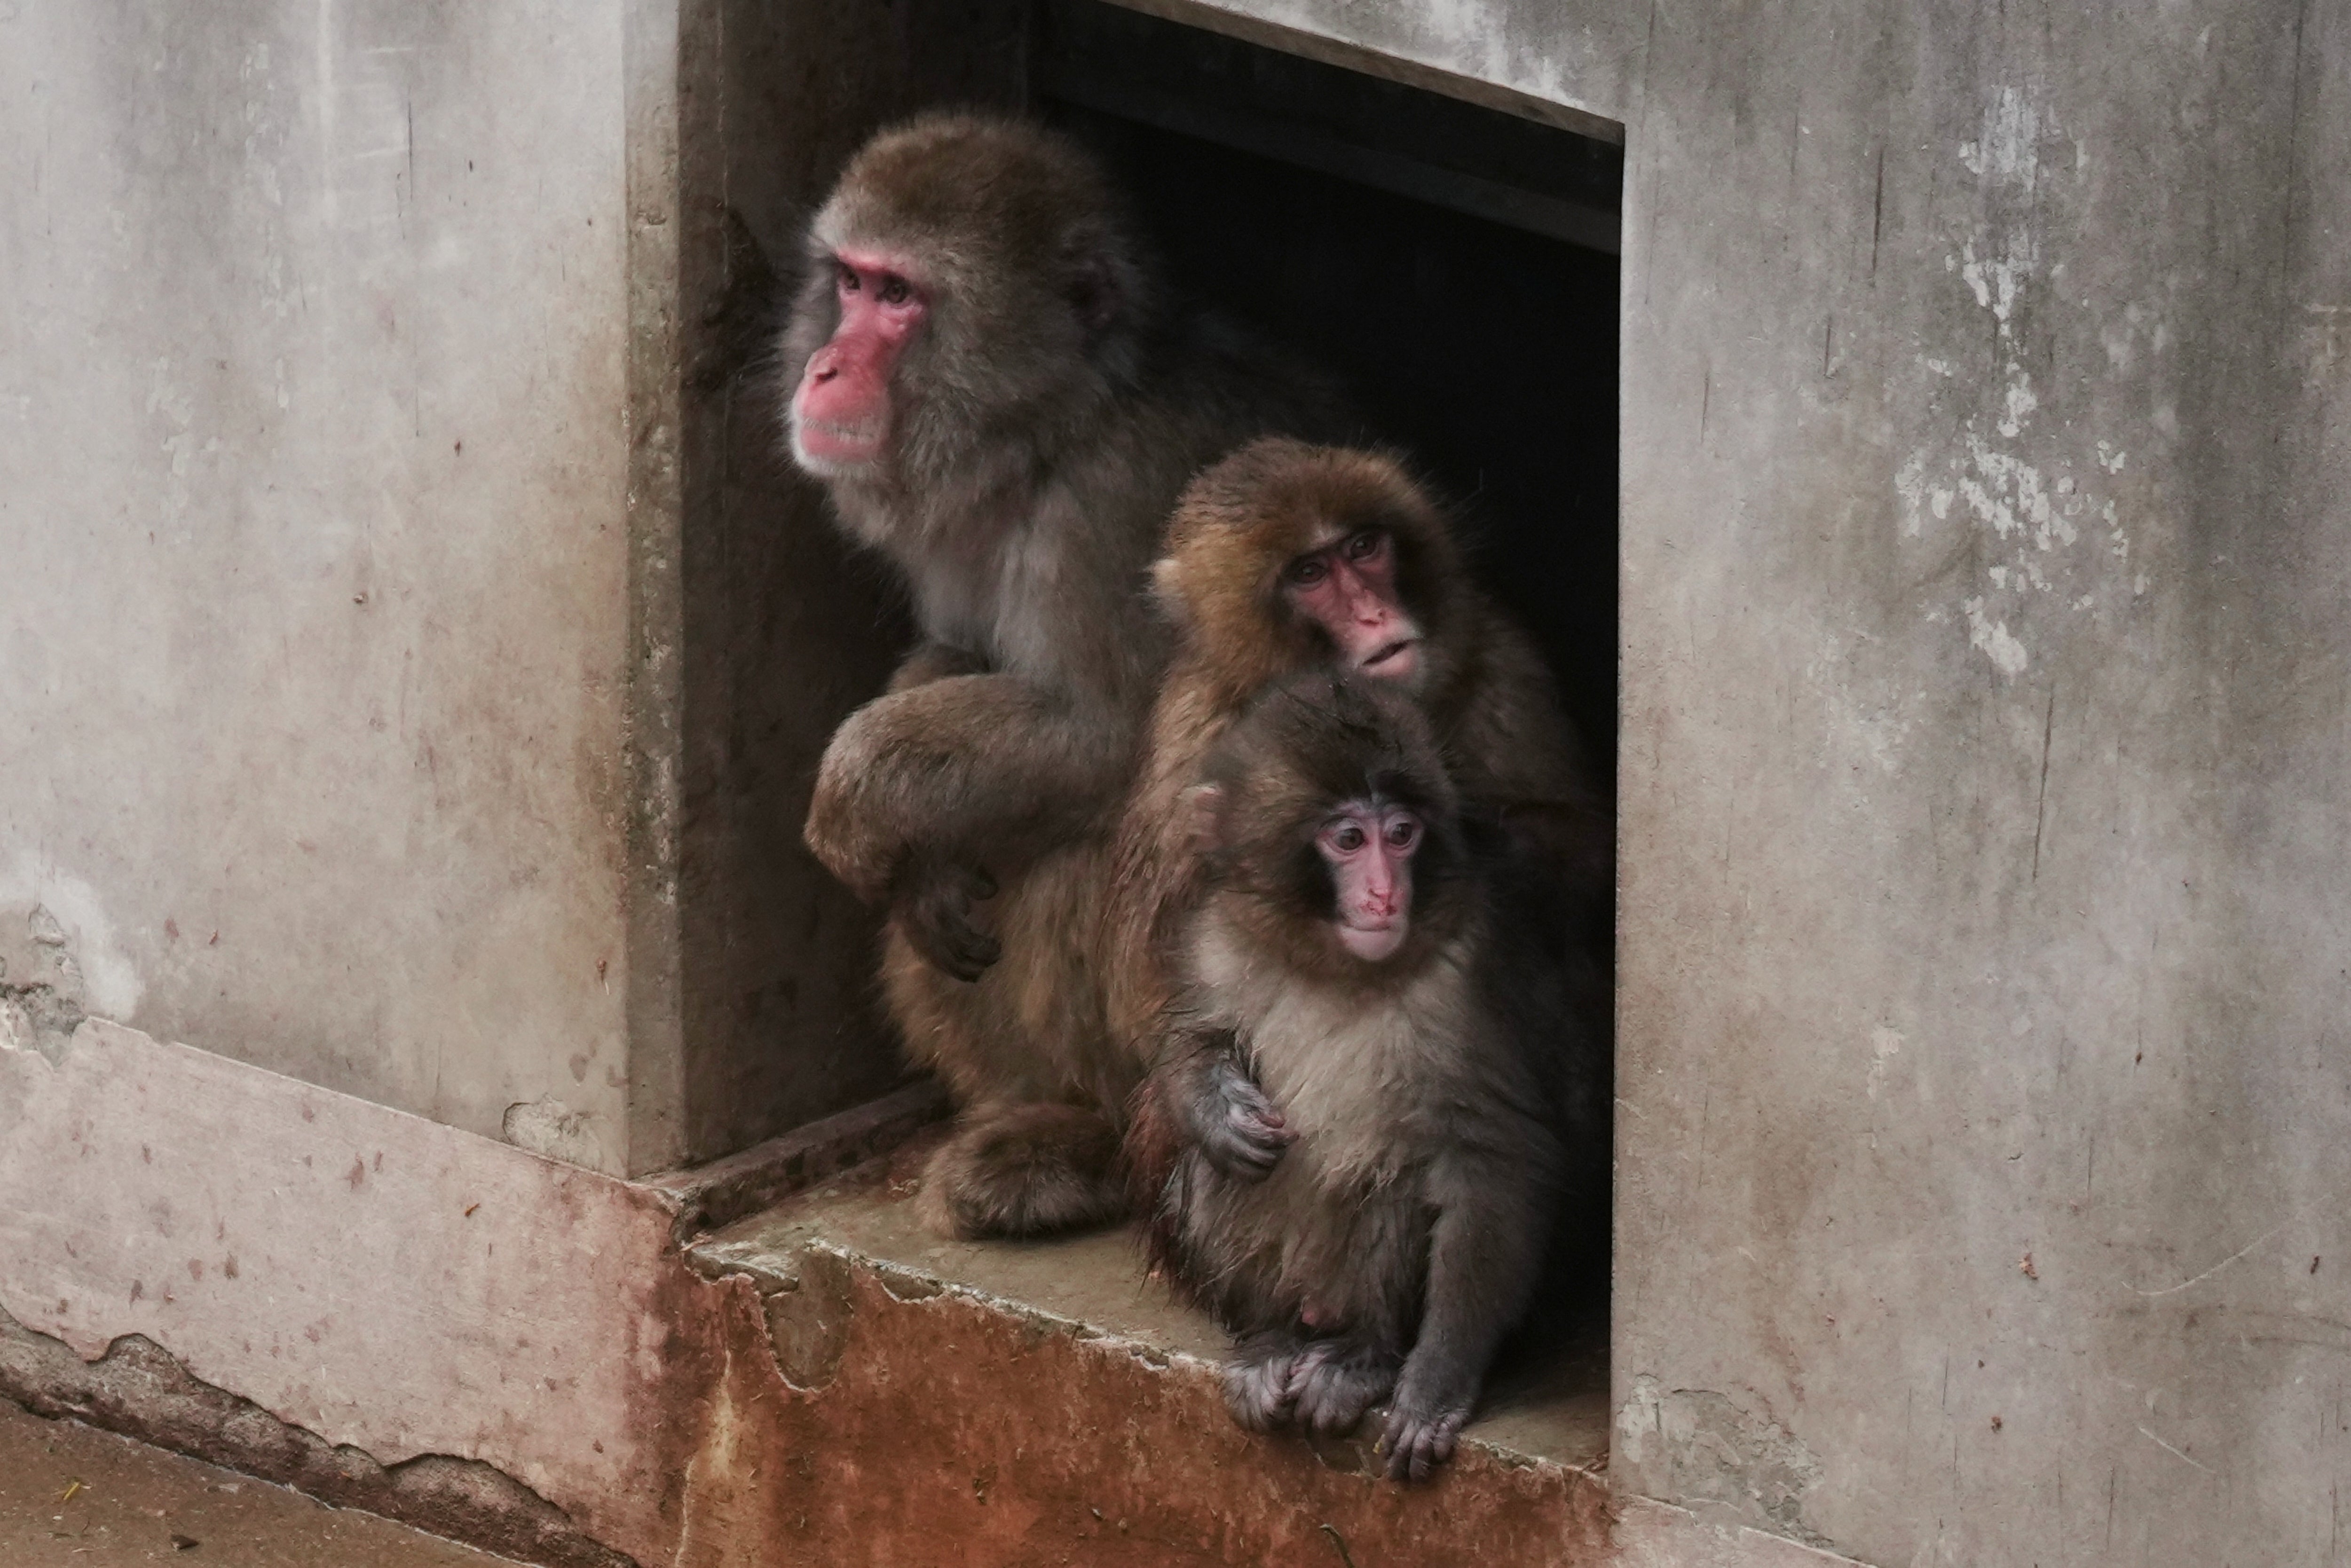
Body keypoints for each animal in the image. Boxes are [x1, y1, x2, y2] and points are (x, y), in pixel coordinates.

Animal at [780, 113, 1351, 1238]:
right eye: (853, 282)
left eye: (901, 298)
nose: (824, 366)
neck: (1055, 430)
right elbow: (957, 656)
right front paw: (922, 861)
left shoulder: (1118, 505)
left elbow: (1114, 737)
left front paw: (857, 792)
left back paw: (1091, 1146)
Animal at [1100, 437, 1612, 1090]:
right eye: (1310, 574)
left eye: (1363, 548)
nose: (1373, 613)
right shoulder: (1191, 741)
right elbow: (1147, 997)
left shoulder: (1497, 658)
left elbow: (1586, 850)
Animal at [1126, 671, 1601, 1482]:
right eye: (1348, 839)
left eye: (1401, 833)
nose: (1384, 894)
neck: (1334, 965)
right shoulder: (1217, 933)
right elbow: (1187, 1039)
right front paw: (1215, 1107)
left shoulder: (1469, 977)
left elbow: (1496, 1157)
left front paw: (1437, 1380)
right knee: (1220, 1173)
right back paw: (1273, 1338)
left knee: (1395, 1181)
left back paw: (1363, 1355)